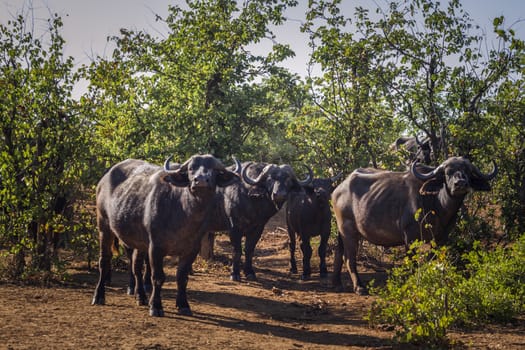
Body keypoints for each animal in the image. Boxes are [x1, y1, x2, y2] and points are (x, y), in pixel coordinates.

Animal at [91, 154, 237, 316]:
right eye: (191, 168)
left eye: (214, 170)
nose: (200, 180)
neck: (184, 213)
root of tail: (103, 180)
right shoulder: (156, 247)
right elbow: (158, 277)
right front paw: (156, 306)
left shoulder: (191, 250)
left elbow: (182, 278)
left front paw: (183, 305)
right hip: (104, 226)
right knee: (104, 261)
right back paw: (99, 296)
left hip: (139, 241)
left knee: (136, 265)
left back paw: (140, 296)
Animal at [332, 155, 496, 292]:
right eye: (448, 172)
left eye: (467, 172)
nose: (460, 183)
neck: (436, 203)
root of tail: (338, 189)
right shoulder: (410, 237)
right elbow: (412, 262)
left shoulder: (442, 237)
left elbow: (434, 260)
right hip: (348, 231)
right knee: (349, 258)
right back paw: (359, 287)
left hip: (343, 232)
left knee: (339, 253)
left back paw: (337, 283)